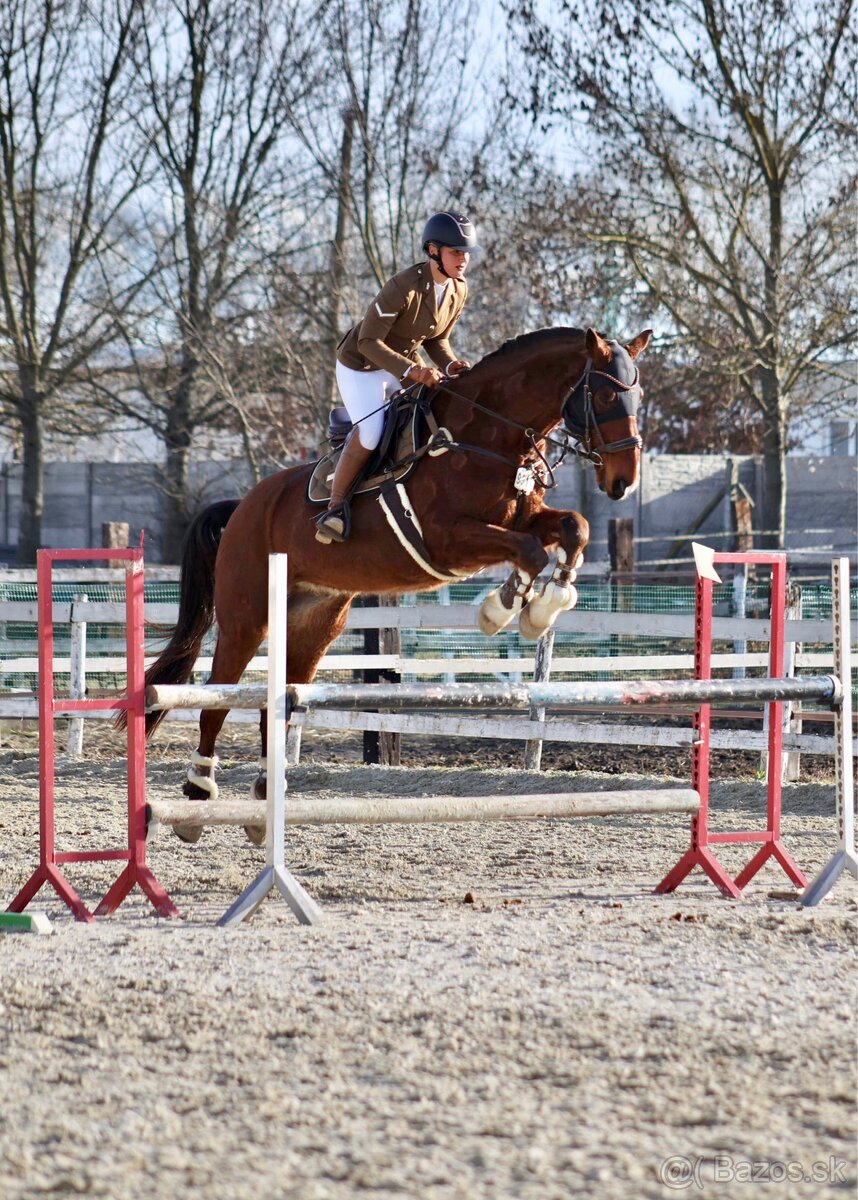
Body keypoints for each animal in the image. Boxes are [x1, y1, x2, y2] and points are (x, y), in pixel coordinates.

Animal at [141, 324, 652, 825]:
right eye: (605, 395)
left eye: (640, 396)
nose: (623, 482)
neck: (487, 434)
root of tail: (242, 507)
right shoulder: (449, 538)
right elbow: (527, 552)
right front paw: (504, 607)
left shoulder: (525, 518)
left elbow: (574, 528)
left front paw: (545, 605)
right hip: (247, 619)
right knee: (217, 698)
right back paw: (199, 787)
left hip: (313, 624)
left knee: (278, 702)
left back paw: (268, 792)